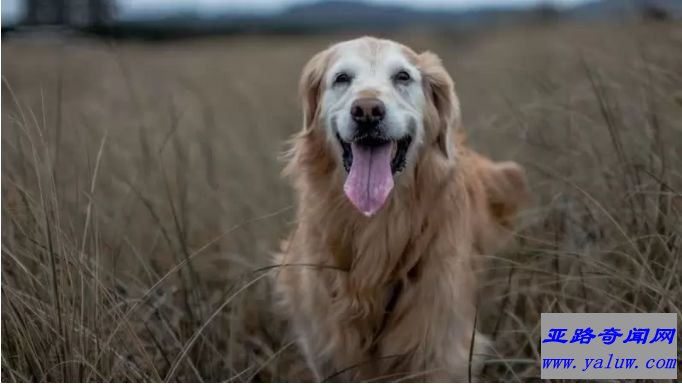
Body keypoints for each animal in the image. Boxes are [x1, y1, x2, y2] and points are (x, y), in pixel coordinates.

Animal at [274, 36, 528, 380]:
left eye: (403, 77)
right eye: (342, 78)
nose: (367, 111)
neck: (377, 225)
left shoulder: (441, 348)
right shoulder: (327, 349)